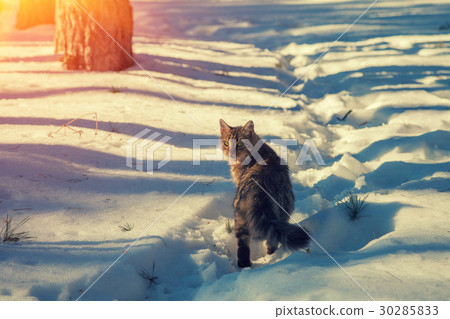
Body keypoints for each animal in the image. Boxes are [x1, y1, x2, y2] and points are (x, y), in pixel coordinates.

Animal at [220, 119, 312, 268]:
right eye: (226, 143)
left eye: (240, 143)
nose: (230, 152)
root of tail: (259, 187)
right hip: (278, 213)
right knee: (269, 238)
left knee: (247, 243)